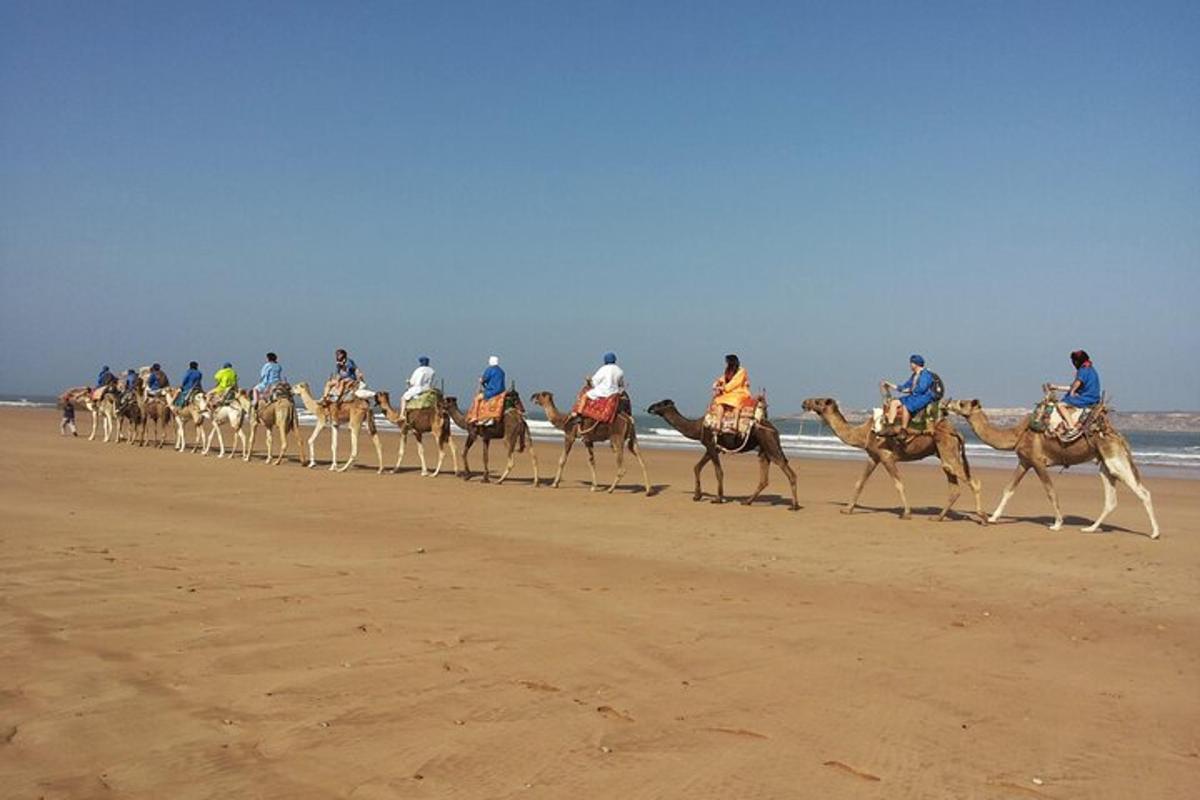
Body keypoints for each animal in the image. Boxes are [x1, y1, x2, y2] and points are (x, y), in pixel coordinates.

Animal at [648, 398, 796, 510]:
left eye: (661, 404)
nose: (650, 408)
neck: (697, 427)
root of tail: (775, 430)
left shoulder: (711, 445)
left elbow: (718, 472)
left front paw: (718, 498)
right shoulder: (712, 447)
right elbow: (697, 467)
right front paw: (697, 496)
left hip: (770, 444)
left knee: (788, 470)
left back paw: (794, 506)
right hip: (764, 450)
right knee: (764, 478)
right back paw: (747, 501)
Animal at [796, 398, 984, 522]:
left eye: (818, 401)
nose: (804, 402)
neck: (864, 433)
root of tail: (957, 431)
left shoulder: (886, 457)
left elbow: (899, 484)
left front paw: (906, 513)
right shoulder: (873, 456)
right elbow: (860, 482)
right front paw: (847, 509)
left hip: (947, 450)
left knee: (972, 481)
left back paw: (982, 518)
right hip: (943, 453)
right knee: (954, 487)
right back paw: (938, 517)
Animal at [940, 398, 1156, 537]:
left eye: (962, 403)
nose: (946, 404)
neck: (1016, 434)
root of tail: (1118, 436)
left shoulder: (1037, 462)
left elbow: (1050, 491)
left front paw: (1057, 524)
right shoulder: (1024, 461)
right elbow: (1008, 489)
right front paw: (993, 518)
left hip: (1113, 457)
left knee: (1143, 492)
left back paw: (1154, 533)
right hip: (1104, 463)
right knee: (1111, 499)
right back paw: (1090, 529)